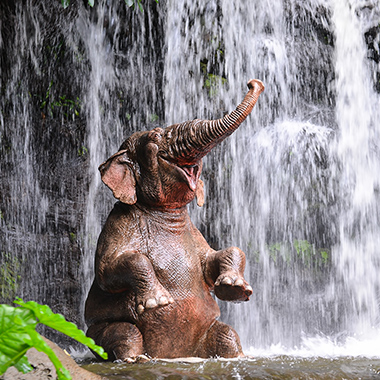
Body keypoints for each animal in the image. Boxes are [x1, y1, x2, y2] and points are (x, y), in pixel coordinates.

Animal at [85, 78, 266, 362]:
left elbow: (213, 260)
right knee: (125, 332)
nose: (253, 82)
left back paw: (236, 356)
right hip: (96, 333)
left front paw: (235, 288)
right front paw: (157, 302)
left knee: (226, 333)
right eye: (154, 138)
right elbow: (108, 269)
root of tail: (176, 353)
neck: (165, 211)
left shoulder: (195, 234)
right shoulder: (117, 223)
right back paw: (136, 358)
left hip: (208, 332)